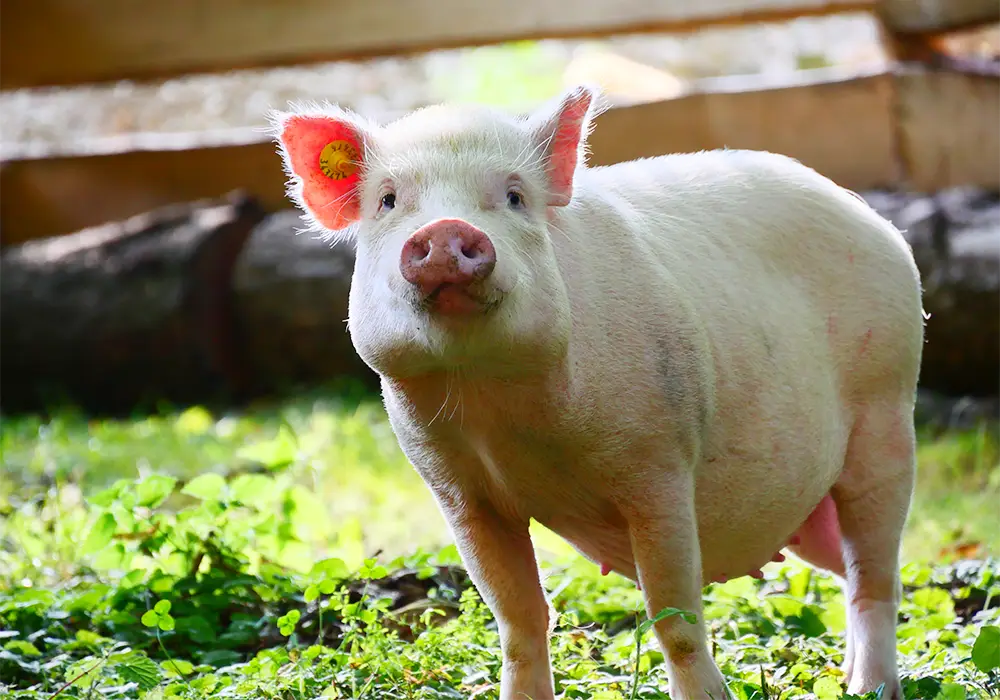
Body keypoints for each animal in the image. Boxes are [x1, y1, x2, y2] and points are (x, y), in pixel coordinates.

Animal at [268, 84, 923, 700]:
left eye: (514, 196)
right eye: (388, 201)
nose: (446, 230)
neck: (495, 401)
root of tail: (878, 223)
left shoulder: (660, 464)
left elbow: (674, 613)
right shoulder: (457, 491)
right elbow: (517, 616)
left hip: (887, 407)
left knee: (875, 573)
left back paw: (870, 687)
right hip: (809, 504)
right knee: (852, 568)